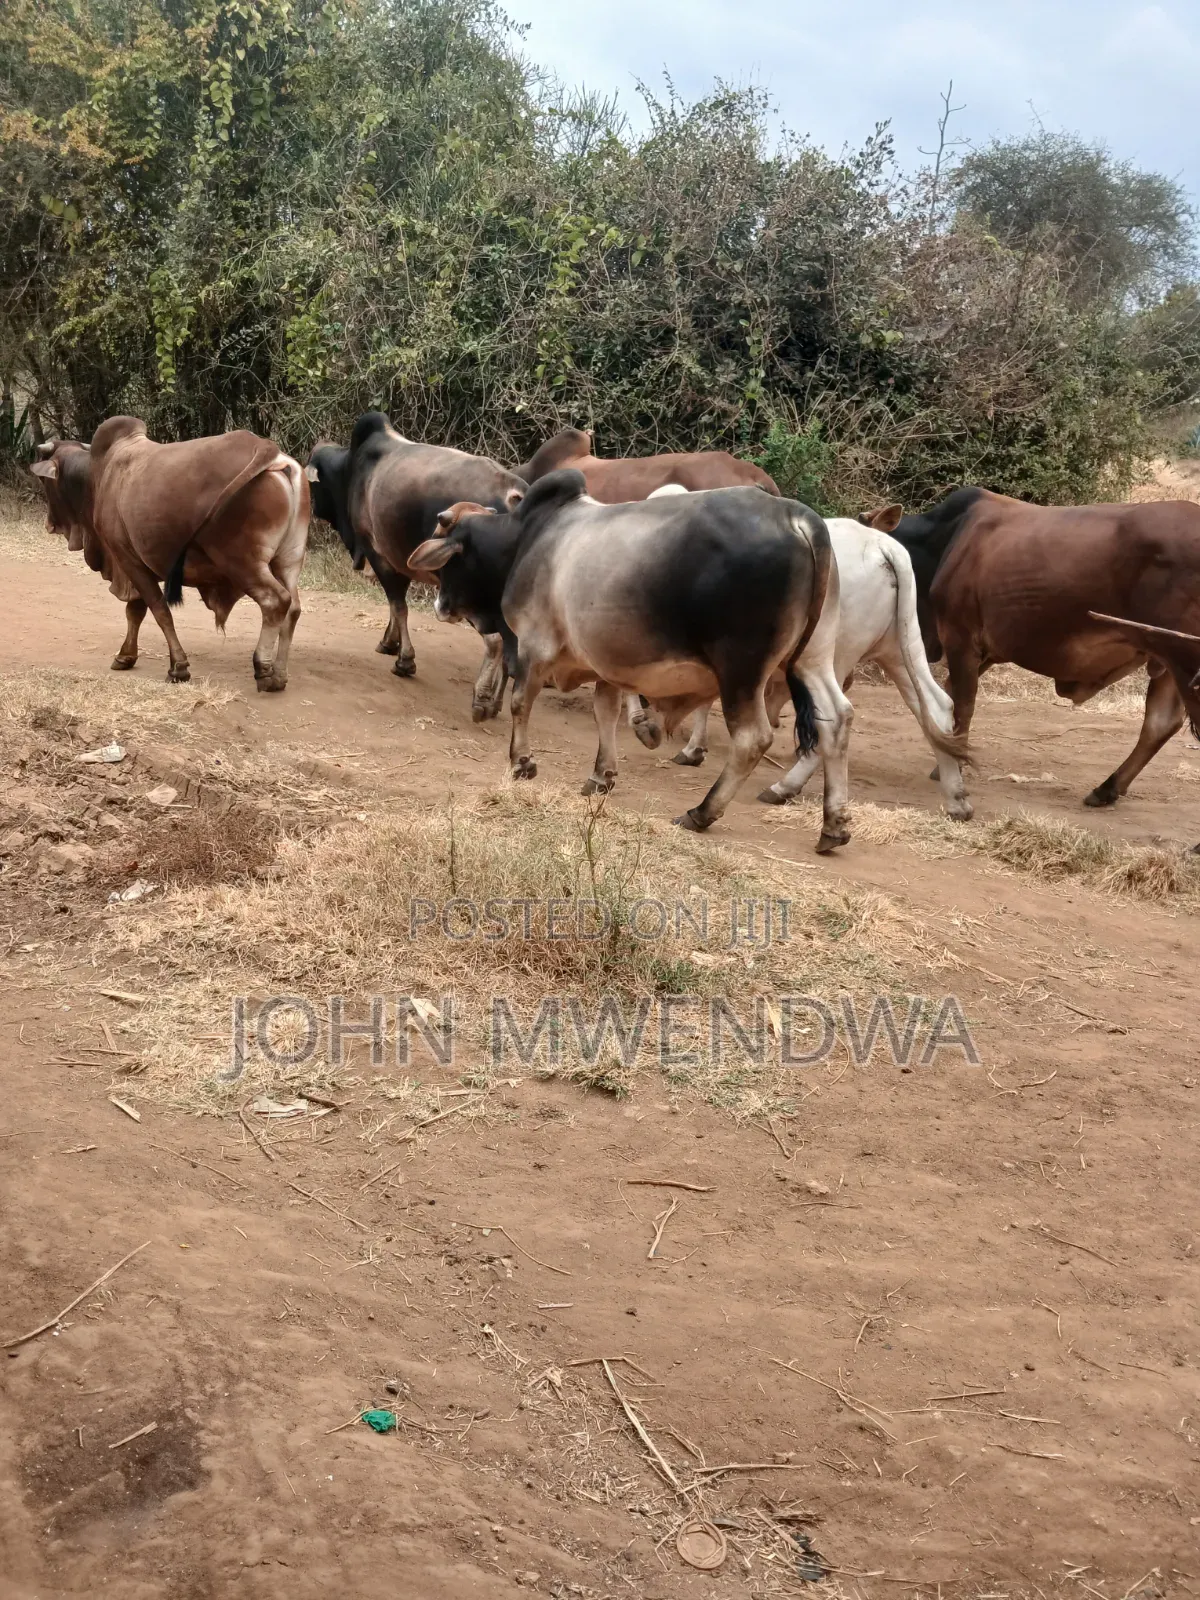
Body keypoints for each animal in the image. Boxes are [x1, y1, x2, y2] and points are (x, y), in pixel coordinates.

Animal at [30, 417, 308, 690]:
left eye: (45, 481)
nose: (49, 524)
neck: (97, 476)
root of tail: (270, 451)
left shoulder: (127, 559)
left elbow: (159, 610)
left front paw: (178, 667)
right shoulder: (137, 565)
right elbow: (135, 611)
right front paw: (126, 656)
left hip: (242, 563)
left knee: (275, 601)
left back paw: (263, 668)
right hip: (288, 561)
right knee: (293, 608)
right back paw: (279, 675)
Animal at [305, 412, 527, 717]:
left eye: (314, 484)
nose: (313, 507)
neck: (351, 469)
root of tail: (515, 495)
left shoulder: (380, 555)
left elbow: (398, 606)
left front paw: (404, 660)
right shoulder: (399, 558)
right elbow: (395, 608)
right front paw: (390, 642)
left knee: (495, 642)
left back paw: (482, 698)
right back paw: (495, 704)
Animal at [406, 470, 857, 850]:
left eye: (449, 556)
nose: (440, 605)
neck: (524, 541)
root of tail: (796, 516)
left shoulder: (534, 643)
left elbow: (520, 703)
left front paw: (522, 762)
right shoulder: (607, 664)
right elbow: (605, 712)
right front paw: (601, 774)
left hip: (740, 671)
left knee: (752, 739)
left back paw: (702, 812)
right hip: (813, 660)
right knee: (836, 719)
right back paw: (833, 825)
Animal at [881, 488, 1200, 807]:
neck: (945, 537)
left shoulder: (961, 638)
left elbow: (962, 704)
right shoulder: (985, 650)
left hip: (1184, 659)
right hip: (1167, 662)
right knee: (1159, 724)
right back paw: (1106, 789)